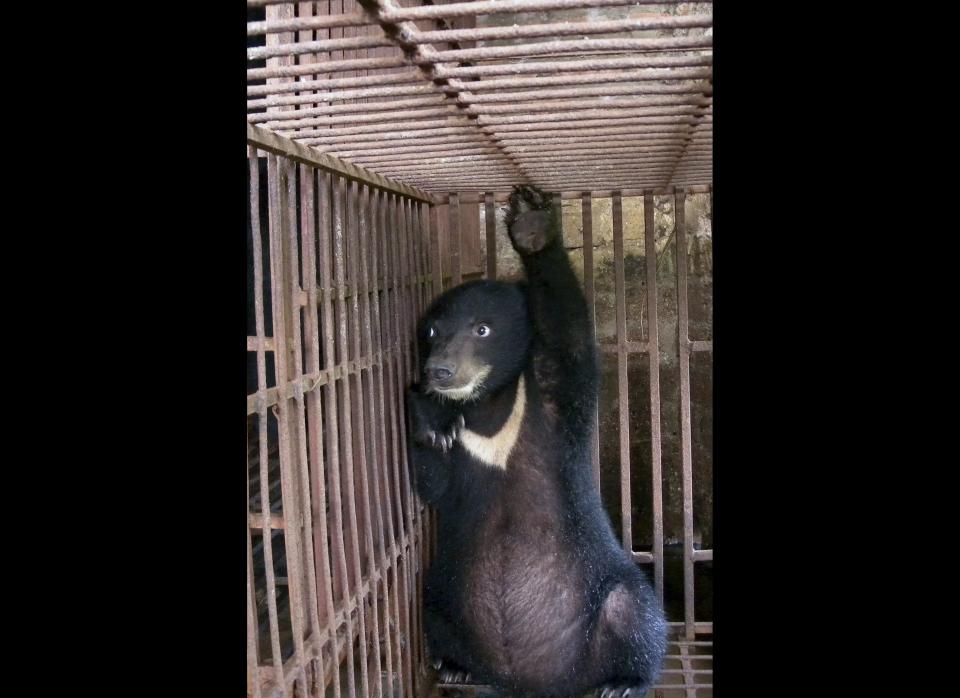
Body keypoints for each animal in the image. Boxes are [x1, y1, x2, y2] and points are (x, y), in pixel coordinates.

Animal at [406, 182, 668, 692]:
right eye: (430, 331)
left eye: (482, 329)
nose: (439, 371)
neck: (490, 403)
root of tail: (533, 681)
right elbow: (434, 482)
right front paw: (434, 419)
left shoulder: (554, 394)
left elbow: (569, 332)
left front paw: (532, 227)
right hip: (445, 588)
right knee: (433, 610)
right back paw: (454, 664)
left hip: (604, 594)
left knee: (634, 612)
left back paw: (623, 681)